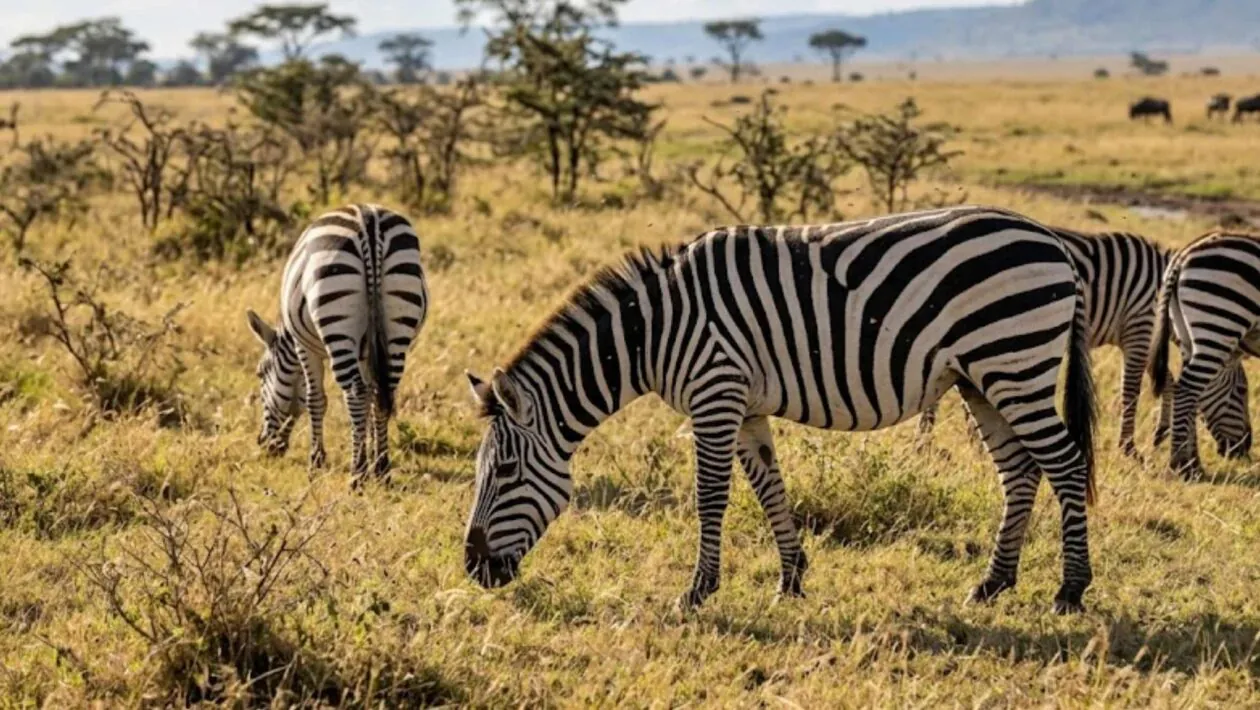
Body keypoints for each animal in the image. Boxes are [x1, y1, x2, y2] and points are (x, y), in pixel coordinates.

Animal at [245, 204, 428, 483]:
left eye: (259, 373)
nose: (264, 443)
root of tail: (369, 219)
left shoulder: (303, 346)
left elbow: (314, 399)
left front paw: (317, 460)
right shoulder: (366, 352)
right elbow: (372, 396)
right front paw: (371, 453)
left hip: (335, 316)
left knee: (354, 393)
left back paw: (357, 474)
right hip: (397, 323)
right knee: (383, 393)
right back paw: (382, 468)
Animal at [463, 206, 1098, 614]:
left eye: (505, 472)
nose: (472, 568)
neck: (652, 332)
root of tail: (1053, 241)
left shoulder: (714, 393)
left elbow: (711, 496)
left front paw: (697, 592)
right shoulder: (744, 406)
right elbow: (770, 488)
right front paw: (791, 579)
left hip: (1014, 361)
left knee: (1065, 465)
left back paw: (1070, 590)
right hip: (981, 378)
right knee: (1020, 472)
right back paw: (993, 583)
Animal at [918, 228, 1252, 458]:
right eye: (1242, 391)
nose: (1244, 449)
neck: (1164, 286)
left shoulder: (1143, 338)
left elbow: (1166, 381)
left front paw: (1160, 433)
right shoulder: (1139, 327)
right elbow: (1132, 389)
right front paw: (1128, 447)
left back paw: (934, 437)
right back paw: (928, 439)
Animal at [1150, 231, 1260, 477]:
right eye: (1241, 390)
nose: (1245, 447)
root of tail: (1183, 255)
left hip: (1187, 333)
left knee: (1190, 391)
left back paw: (1193, 465)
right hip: (1220, 321)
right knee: (1187, 389)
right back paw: (1180, 463)